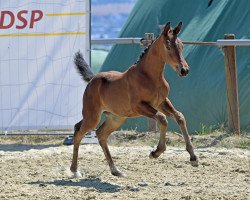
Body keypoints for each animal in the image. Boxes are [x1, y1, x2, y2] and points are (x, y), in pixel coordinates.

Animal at [71, 21, 198, 177]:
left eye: (181, 46)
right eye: (168, 46)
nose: (184, 70)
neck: (149, 76)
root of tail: (92, 79)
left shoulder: (161, 102)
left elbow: (180, 117)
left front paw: (193, 158)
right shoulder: (140, 106)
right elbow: (162, 119)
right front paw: (155, 152)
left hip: (116, 118)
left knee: (100, 134)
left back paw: (115, 170)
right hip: (92, 116)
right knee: (78, 132)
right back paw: (75, 171)